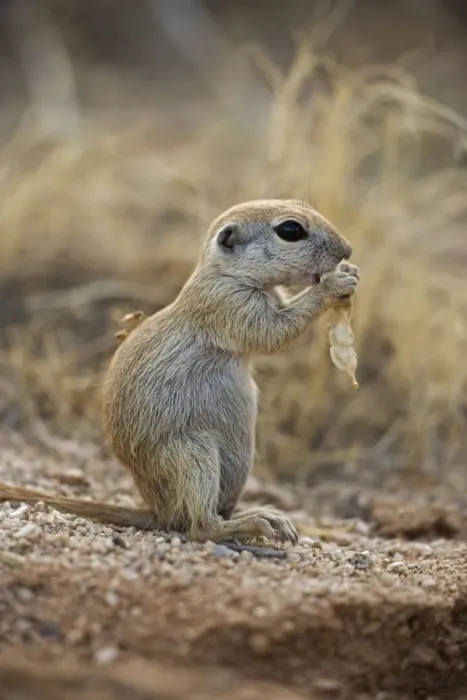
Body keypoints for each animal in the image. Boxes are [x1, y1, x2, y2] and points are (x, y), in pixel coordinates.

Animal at [0, 200, 358, 544]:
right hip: (192, 455)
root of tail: (158, 512)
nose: (348, 250)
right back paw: (253, 523)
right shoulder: (228, 303)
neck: (224, 273)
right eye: (290, 230)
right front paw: (335, 284)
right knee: (200, 527)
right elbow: (272, 333)